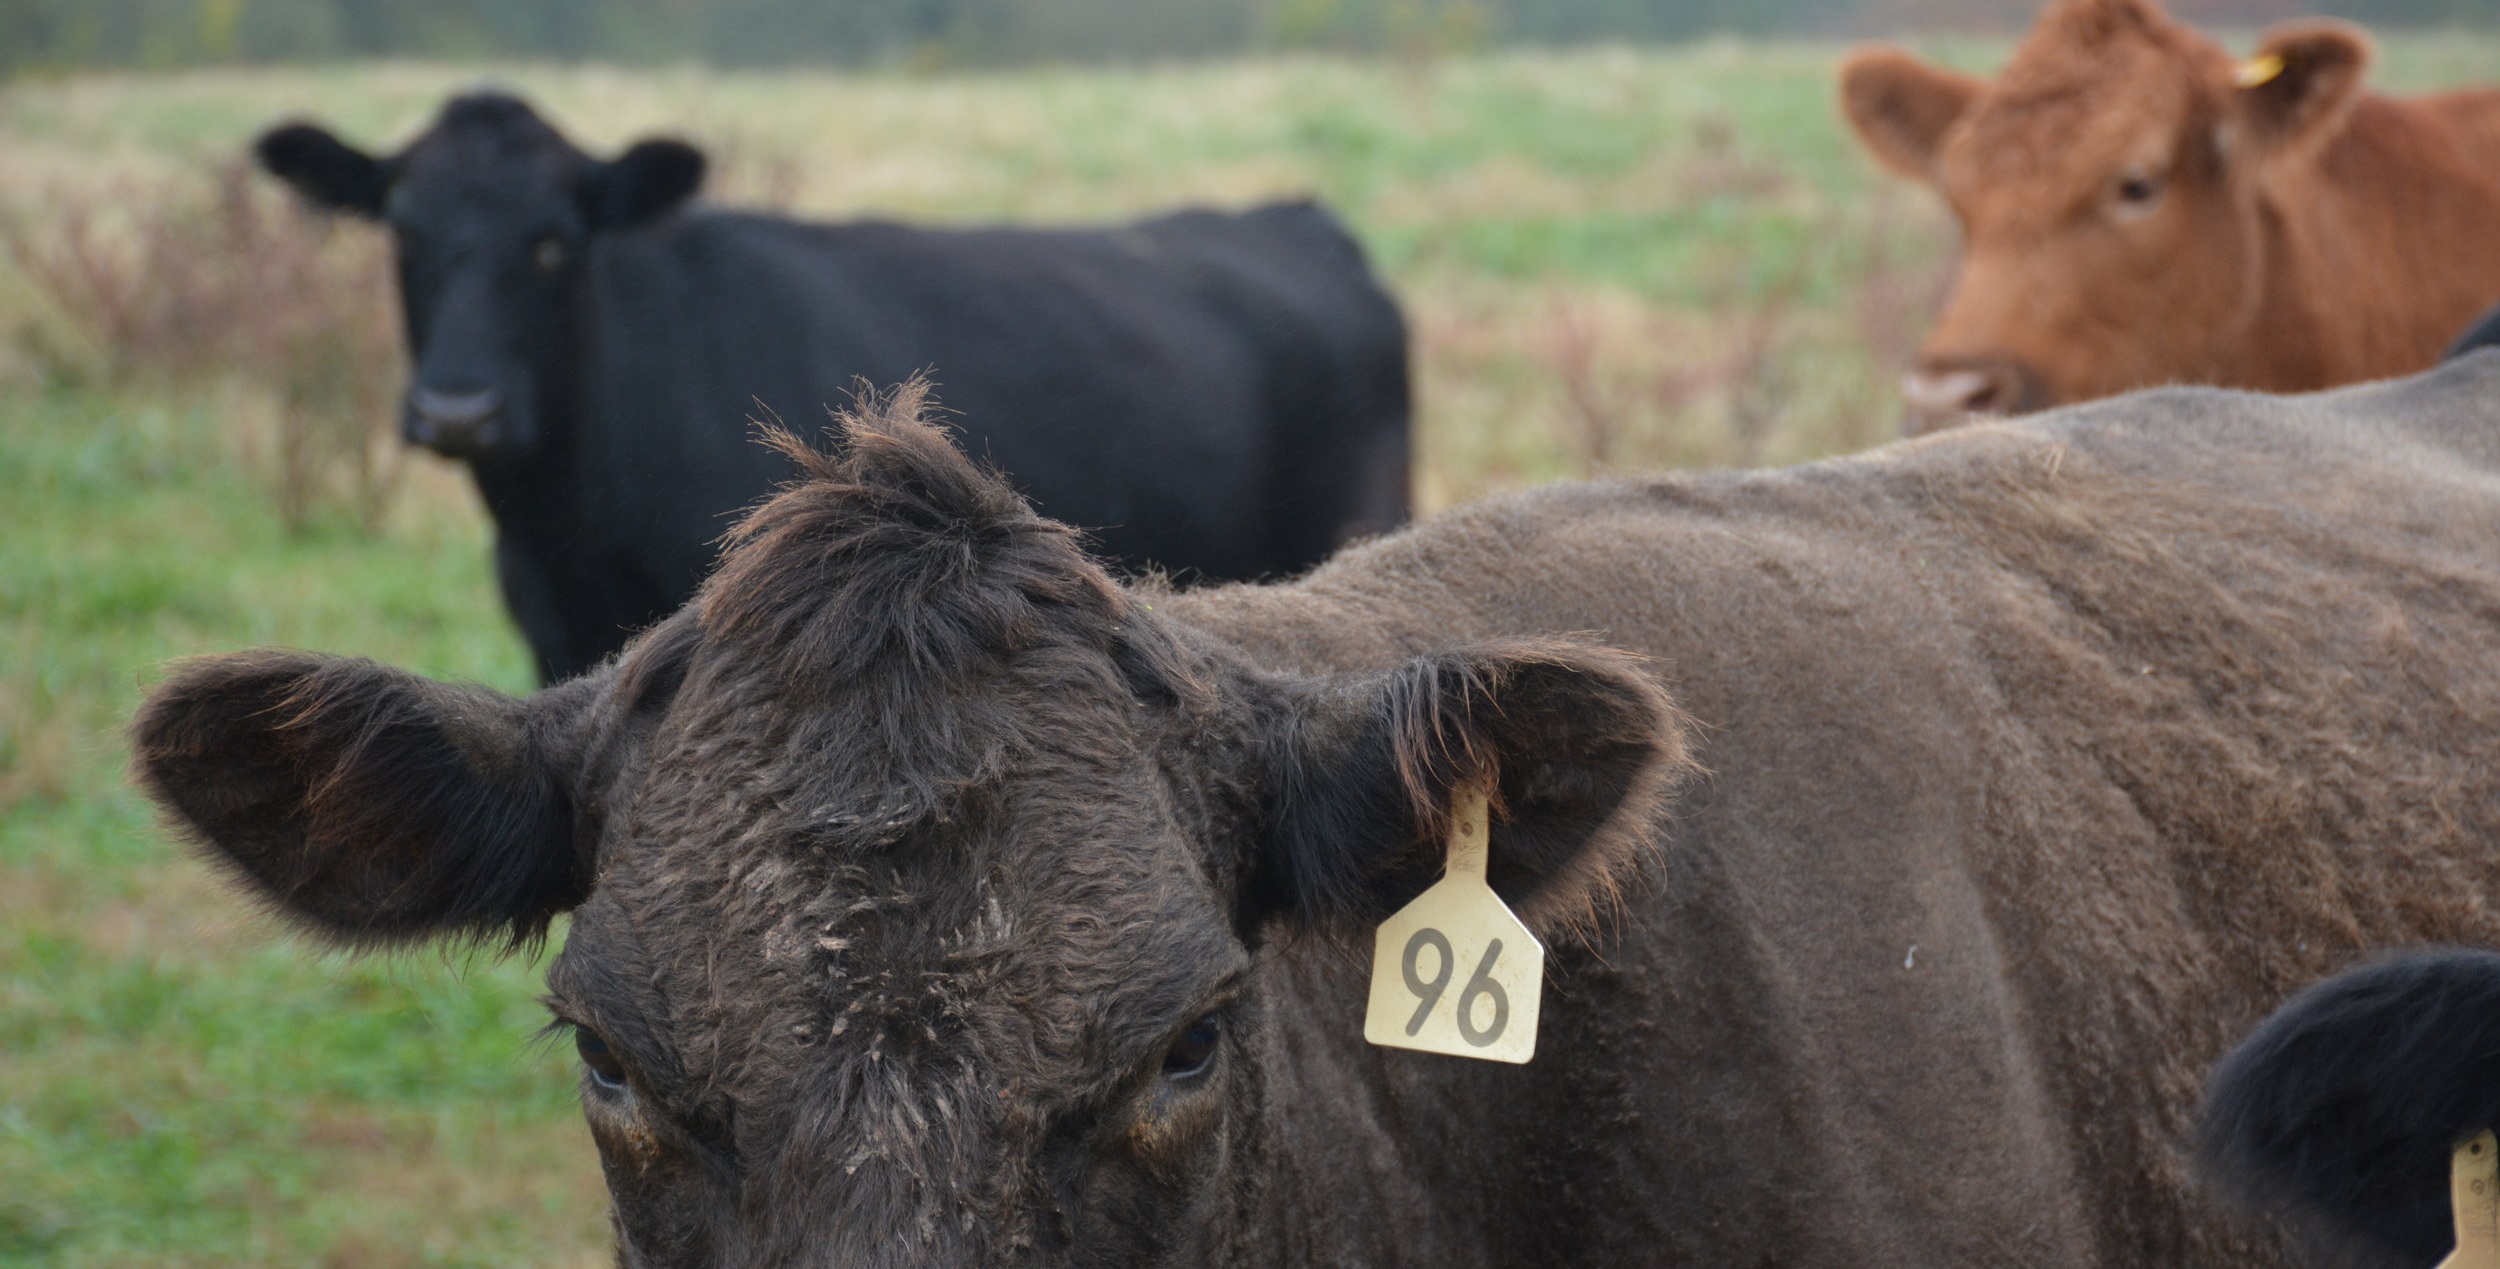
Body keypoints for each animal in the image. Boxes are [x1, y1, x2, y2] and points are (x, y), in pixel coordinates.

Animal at [255, 92, 1412, 684]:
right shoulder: (554, 636)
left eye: (553, 243)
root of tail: (1298, 216)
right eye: (402, 234)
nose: (459, 411)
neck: (570, 525)